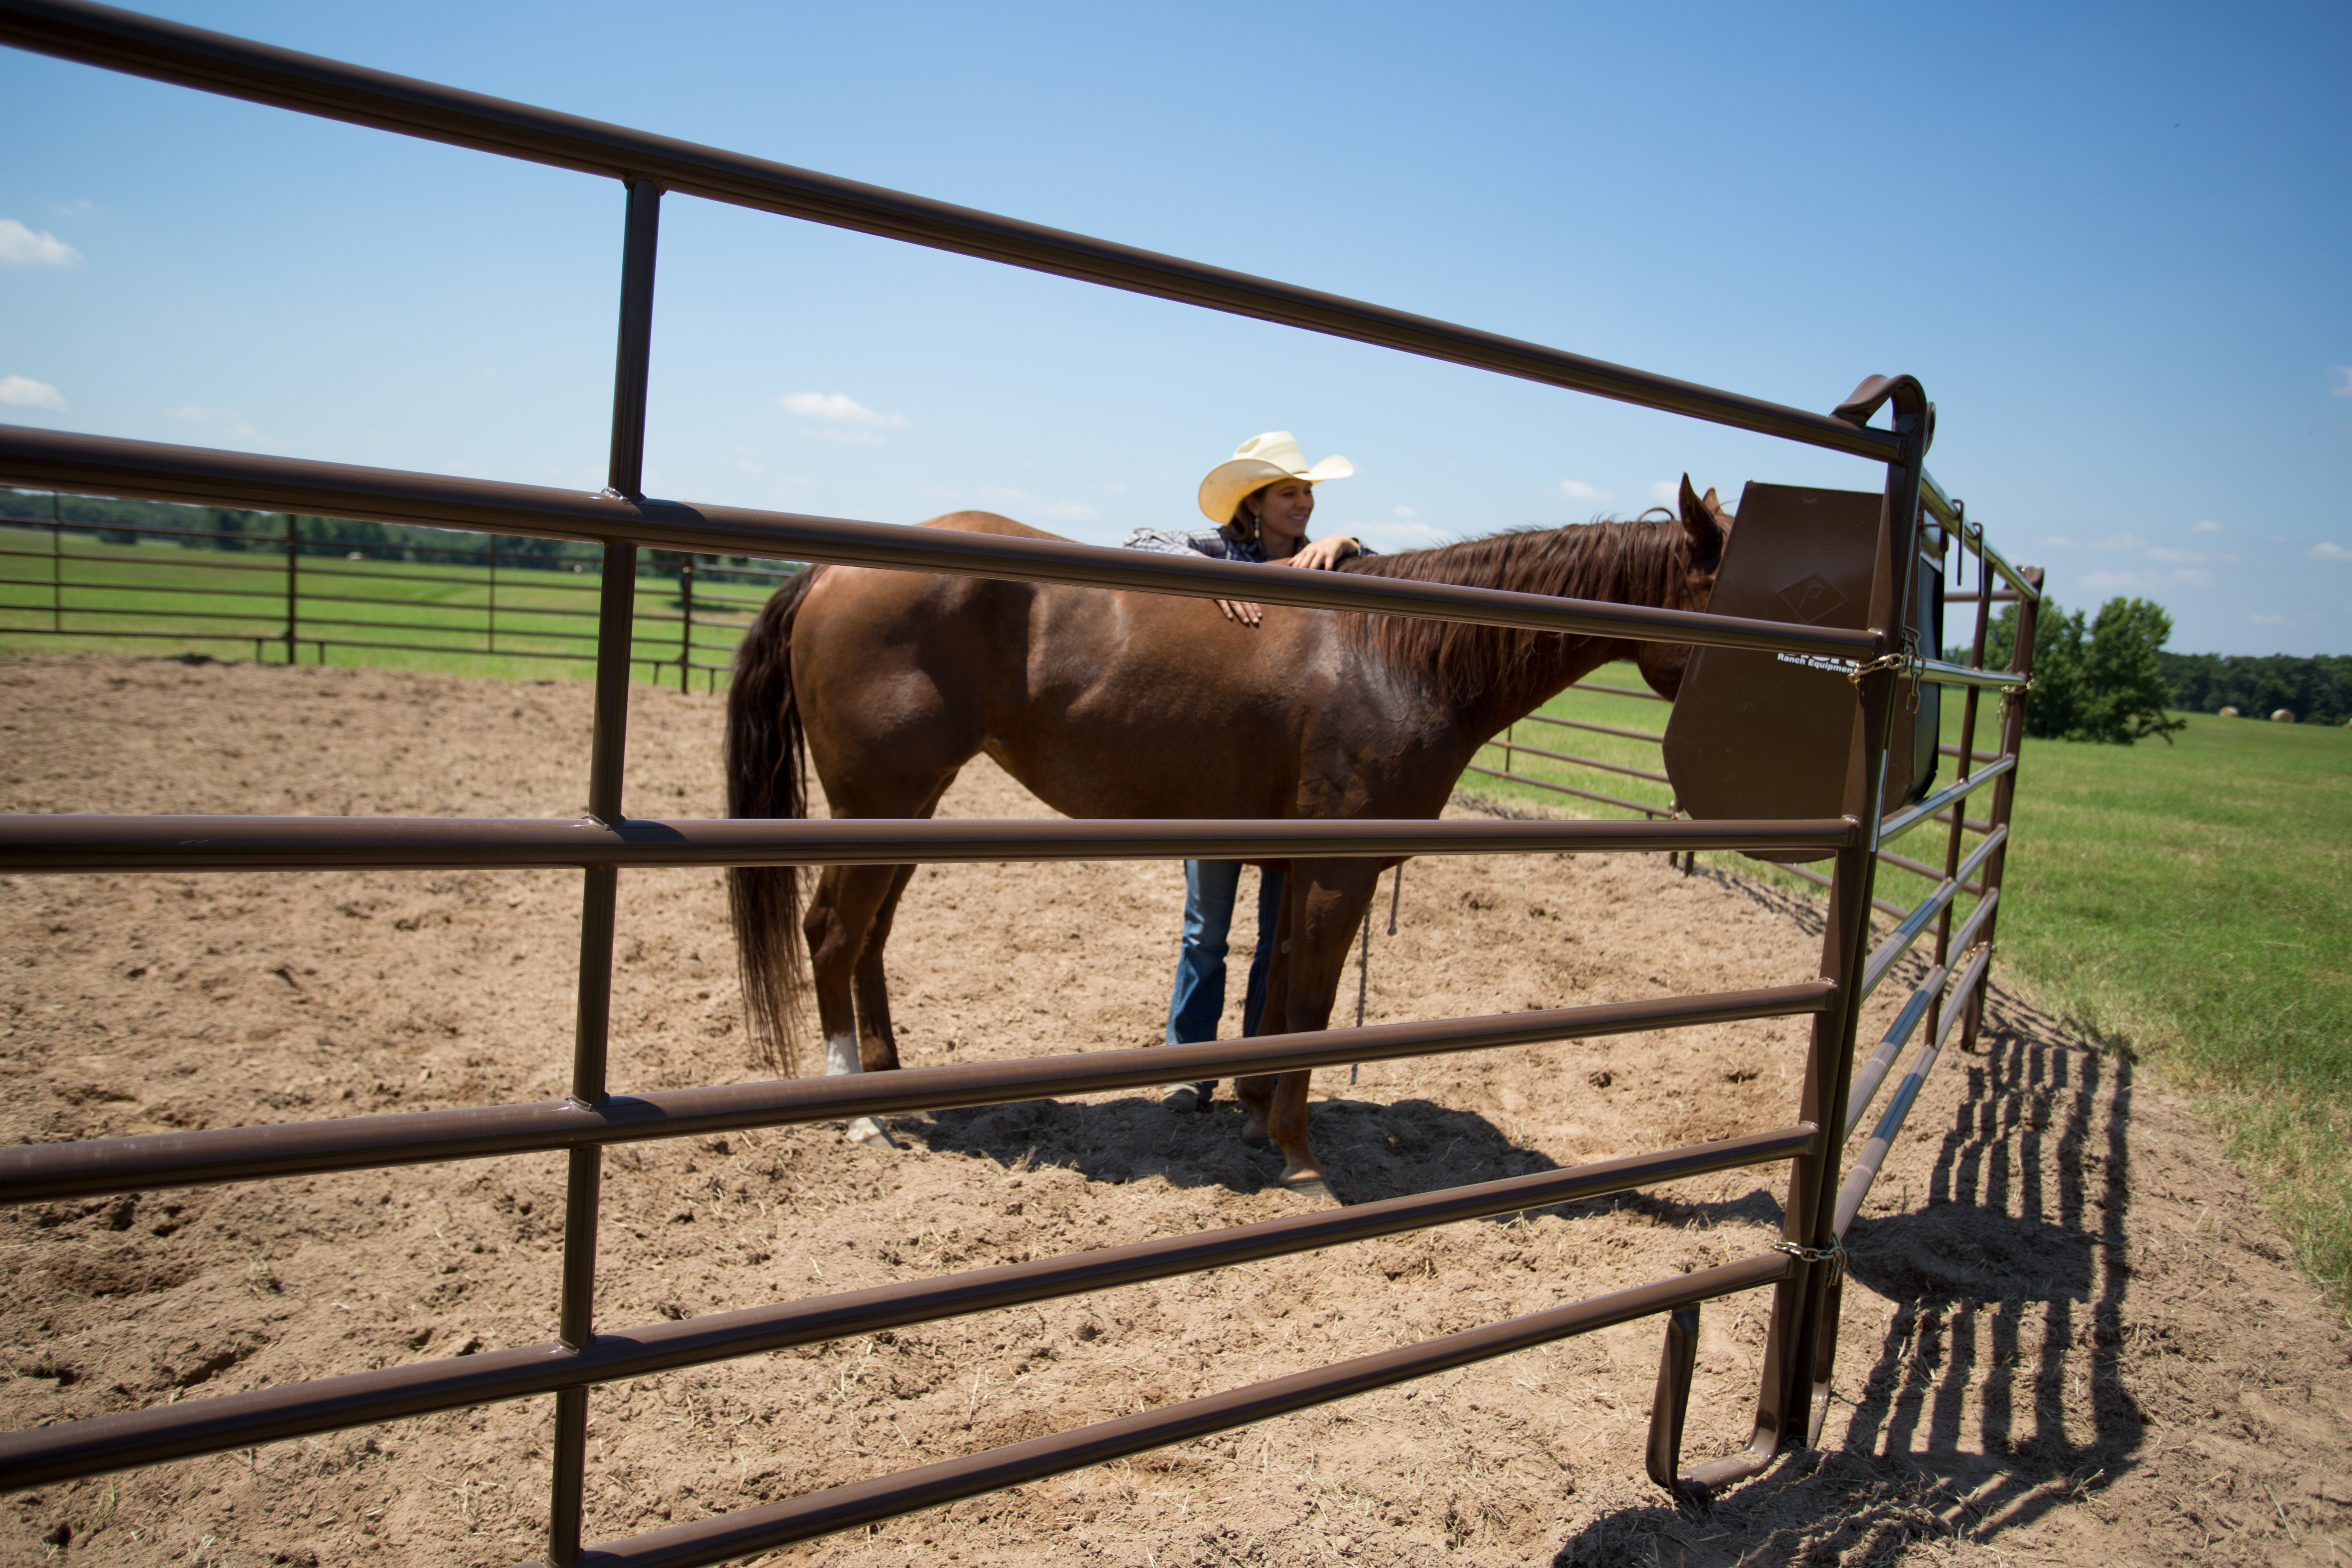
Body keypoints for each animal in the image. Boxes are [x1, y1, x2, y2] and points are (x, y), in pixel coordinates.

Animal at [724, 477, 1733, 1191]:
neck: (1394, 652)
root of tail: (826, 572)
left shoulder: (1297, 867)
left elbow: (1278, 990)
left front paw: (1255, 1118)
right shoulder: (1339, 872)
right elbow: (1314, 1005)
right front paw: (1302, 1161)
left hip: (915, 805)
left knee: (871, 939)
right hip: (878, 802)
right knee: (834, 934)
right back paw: (857, 1114)